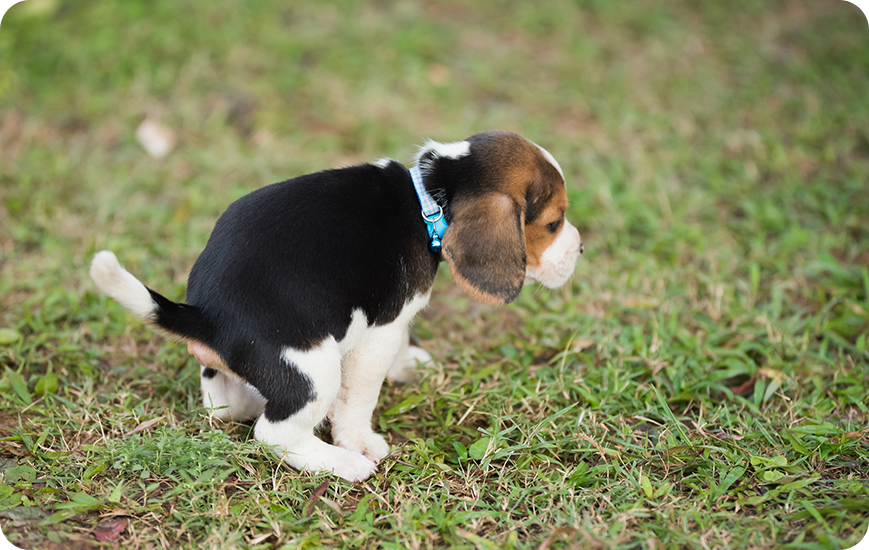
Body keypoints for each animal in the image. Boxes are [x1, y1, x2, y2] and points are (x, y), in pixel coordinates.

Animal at [91, 130, 584, 484]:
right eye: (553, 223)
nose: (580, 249)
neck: (428, 197)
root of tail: (207, 318)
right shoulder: (381, 330)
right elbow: (360, 396)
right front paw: (358, 441)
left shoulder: (392, 321)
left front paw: (408, 365)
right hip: (314, 366)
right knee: (274, 432)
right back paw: (341, 464)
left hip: (233, 378)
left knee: (227, 407)